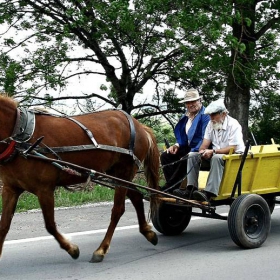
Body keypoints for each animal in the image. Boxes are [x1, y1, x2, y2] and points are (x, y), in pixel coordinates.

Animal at [0, 95, 160, 264]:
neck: (19, 135)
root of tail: (140, 126)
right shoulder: (10, 189)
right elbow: (3, 226)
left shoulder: (44, 189)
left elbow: (50, 225)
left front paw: (72, 249)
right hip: (117, 174)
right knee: (136, 197)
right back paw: (147, 232)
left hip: (125, 172)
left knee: (118, 209)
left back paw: (101, 249)